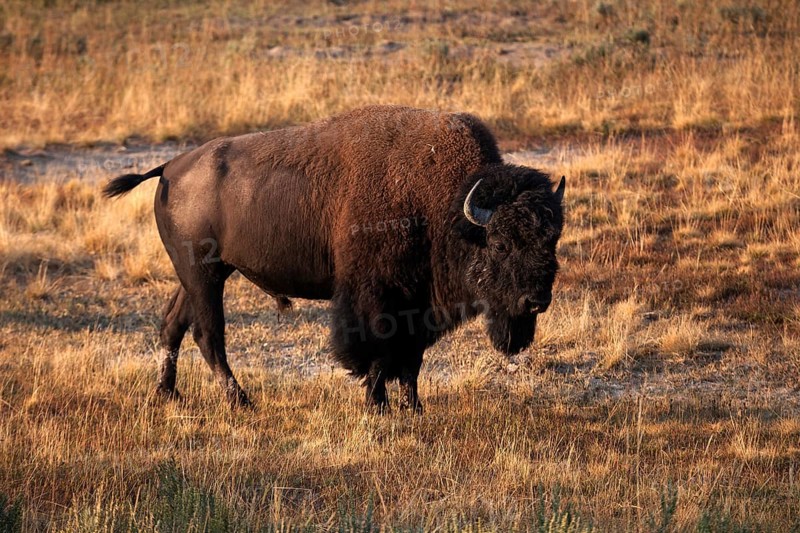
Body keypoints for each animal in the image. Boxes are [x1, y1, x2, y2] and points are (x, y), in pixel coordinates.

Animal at [104, 105, 565, 411]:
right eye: (501, 244)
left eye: (552, 241)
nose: (536, 301)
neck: (447, 207)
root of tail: (170, 167)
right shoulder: (376, 298)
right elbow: (377, 352)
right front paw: (378, 405)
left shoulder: (418, 304)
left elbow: (411, 359)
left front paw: (413, 407)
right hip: (205, 274)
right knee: (208, 333)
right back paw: (241, 401)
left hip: (200, 275)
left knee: (172, 325)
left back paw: (168, 394)